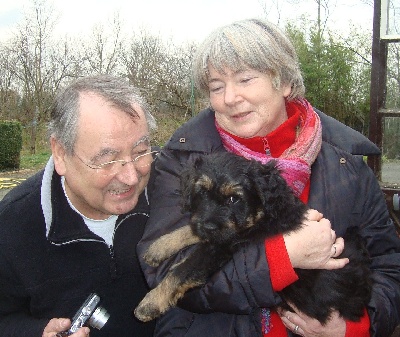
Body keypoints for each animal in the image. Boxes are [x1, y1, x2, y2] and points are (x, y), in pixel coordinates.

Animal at [134, 151, 372, 322]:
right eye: (201, 192)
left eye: (234, 199)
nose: (209, 226)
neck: (263, 214)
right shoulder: (217, 231)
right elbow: (190, 228)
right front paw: (159, 247)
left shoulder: (224, 245)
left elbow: (183, 269)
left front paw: (151, 303)